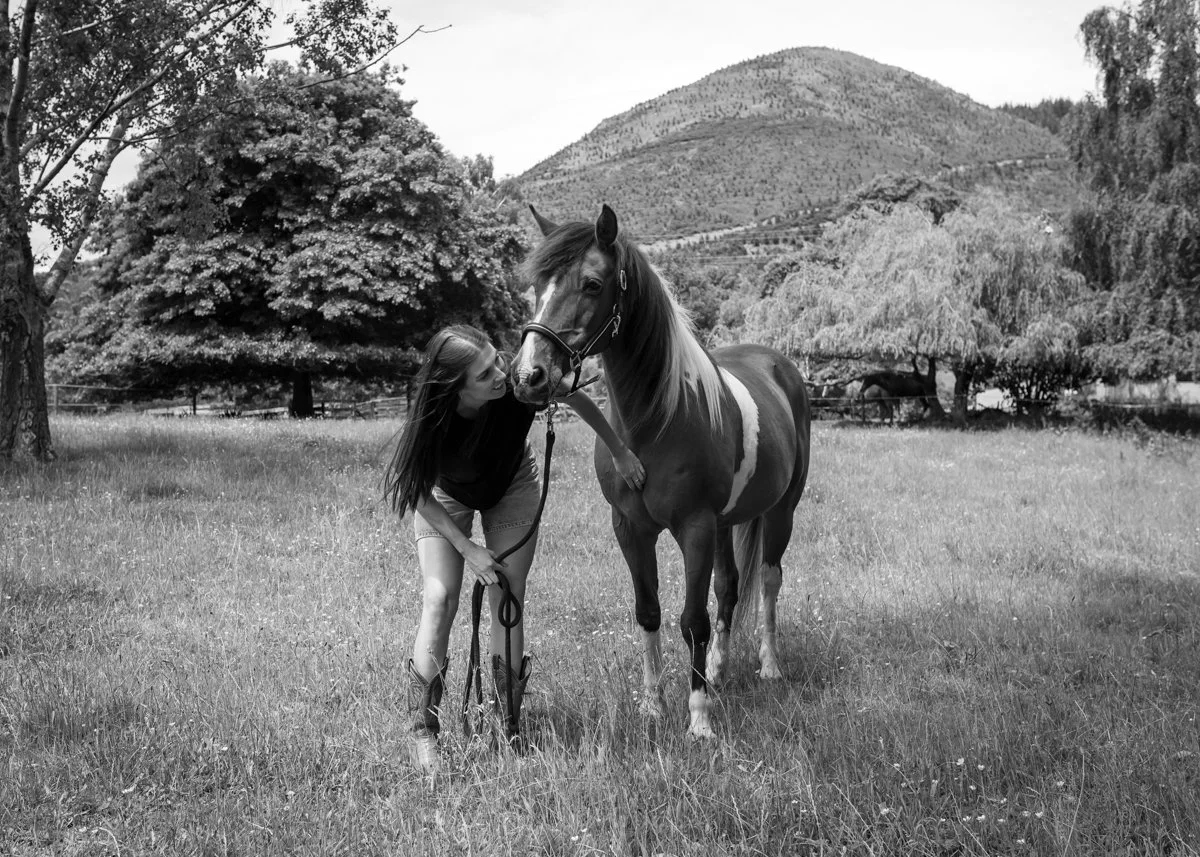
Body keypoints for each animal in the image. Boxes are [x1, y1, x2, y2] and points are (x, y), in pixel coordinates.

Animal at [511, 204, 811, 739]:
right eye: (535, 285)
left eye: (592, 284)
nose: (529, 376)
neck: (654, 421)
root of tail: (781, 366)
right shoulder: (632, 528)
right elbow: (648, 611)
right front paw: (653, 705)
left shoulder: (694, 527)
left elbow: (692, 619)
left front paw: (699, 719)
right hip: (726, 523)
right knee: (729, 587)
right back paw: (717, 670)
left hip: (781, 512)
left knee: (770, 580)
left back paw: (770, 666)